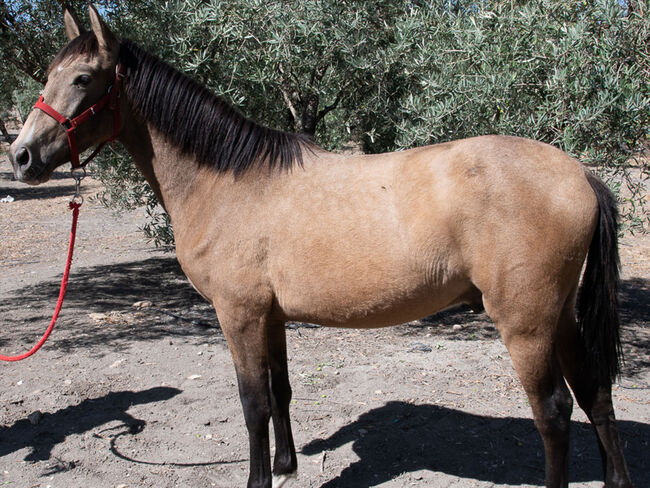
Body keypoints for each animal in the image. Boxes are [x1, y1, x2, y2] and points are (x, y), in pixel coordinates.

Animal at [6, 6, 632, 488]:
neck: (228, 181)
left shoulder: (238, 315)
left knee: (553, 412)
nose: (22, 157)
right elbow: (280, 390)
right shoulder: (271, 317)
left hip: (526, 323)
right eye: (51, 73)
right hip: (561, 316)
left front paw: (259, 478)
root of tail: (580, 174)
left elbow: (253, 402)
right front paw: (286, 466)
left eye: (83, 78)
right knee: (596, 395)